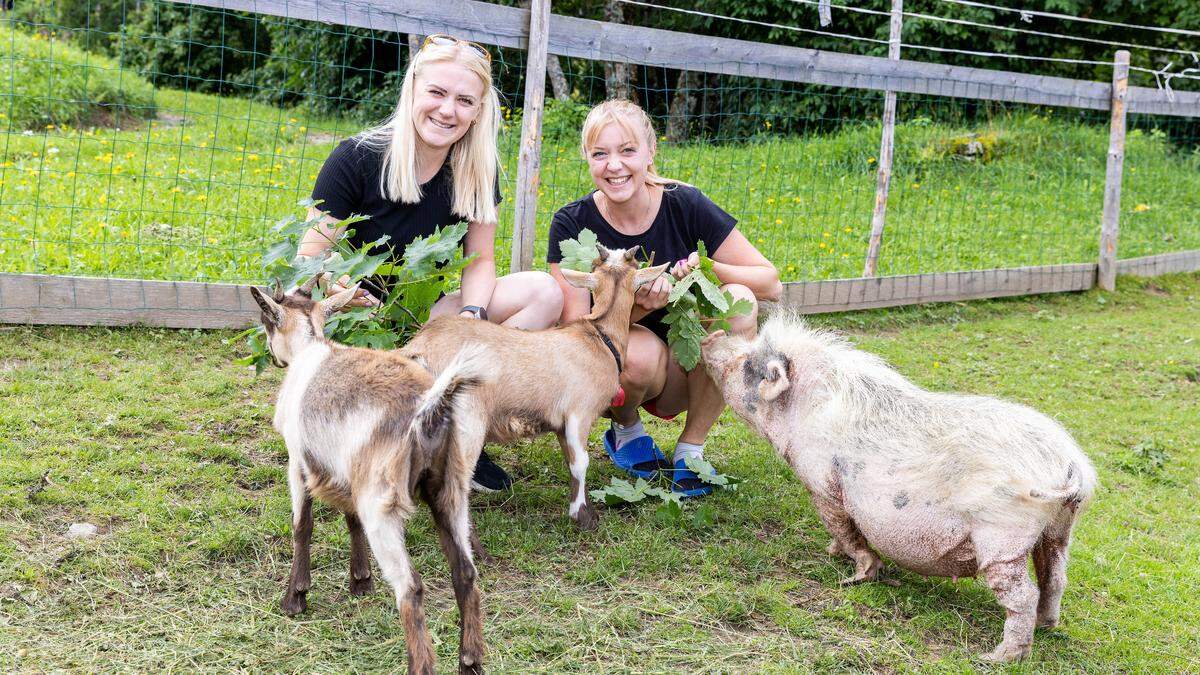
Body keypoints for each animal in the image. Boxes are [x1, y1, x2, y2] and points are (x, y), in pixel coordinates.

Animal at [250, 282, 489, 672]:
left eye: (267, 323)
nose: (274, 358)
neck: (311, 350)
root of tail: (429, 406)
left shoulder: (298, 461)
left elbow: (302, 525)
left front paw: (295, 598)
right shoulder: (347, 474)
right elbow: (351, 521)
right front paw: (360, 582)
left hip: (382, 503)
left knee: (410, 586)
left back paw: (420, 665)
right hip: (450, 491)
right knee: (465, 573)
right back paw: (469, 661)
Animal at [400, 243, 667, 528]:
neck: (599, 337)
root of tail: (420, 348)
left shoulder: (562, 425)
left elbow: (570, 461)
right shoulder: (579, 413)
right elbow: (581, 462)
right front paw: (583, 517)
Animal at [700, 317, 1099, 662]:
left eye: (747, 361)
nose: (711, 336)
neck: (802, 410)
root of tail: (1070, 464)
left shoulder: (823, 485)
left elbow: (844, 528)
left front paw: (855, 574)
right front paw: (832, 554)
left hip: (1002, 538)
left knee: (1023, 594)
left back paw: (997, 657)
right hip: (1059, 528)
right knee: (1055, 576)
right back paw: (1046, 625)